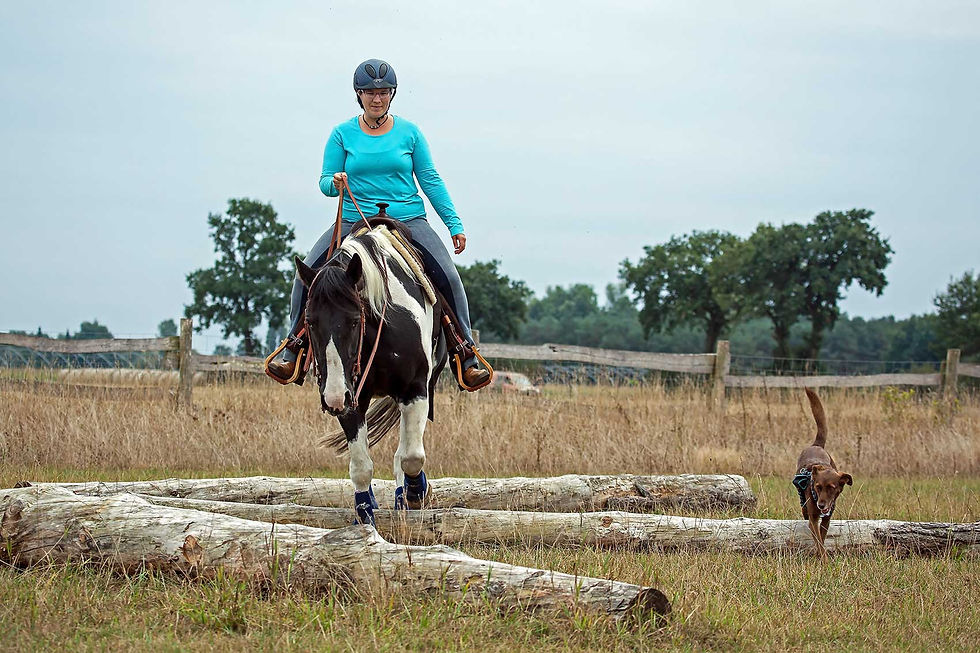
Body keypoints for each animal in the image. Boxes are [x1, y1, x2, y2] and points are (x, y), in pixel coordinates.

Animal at [294, 218, 448, 526]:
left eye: (354, 320)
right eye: (310, 321)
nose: (332, 398)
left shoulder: (415, 390)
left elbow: (412, 456)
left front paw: (416, 494)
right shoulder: (351, 397)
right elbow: (361, 466)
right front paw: (365, 516)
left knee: (405, 451)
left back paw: (406, 495)